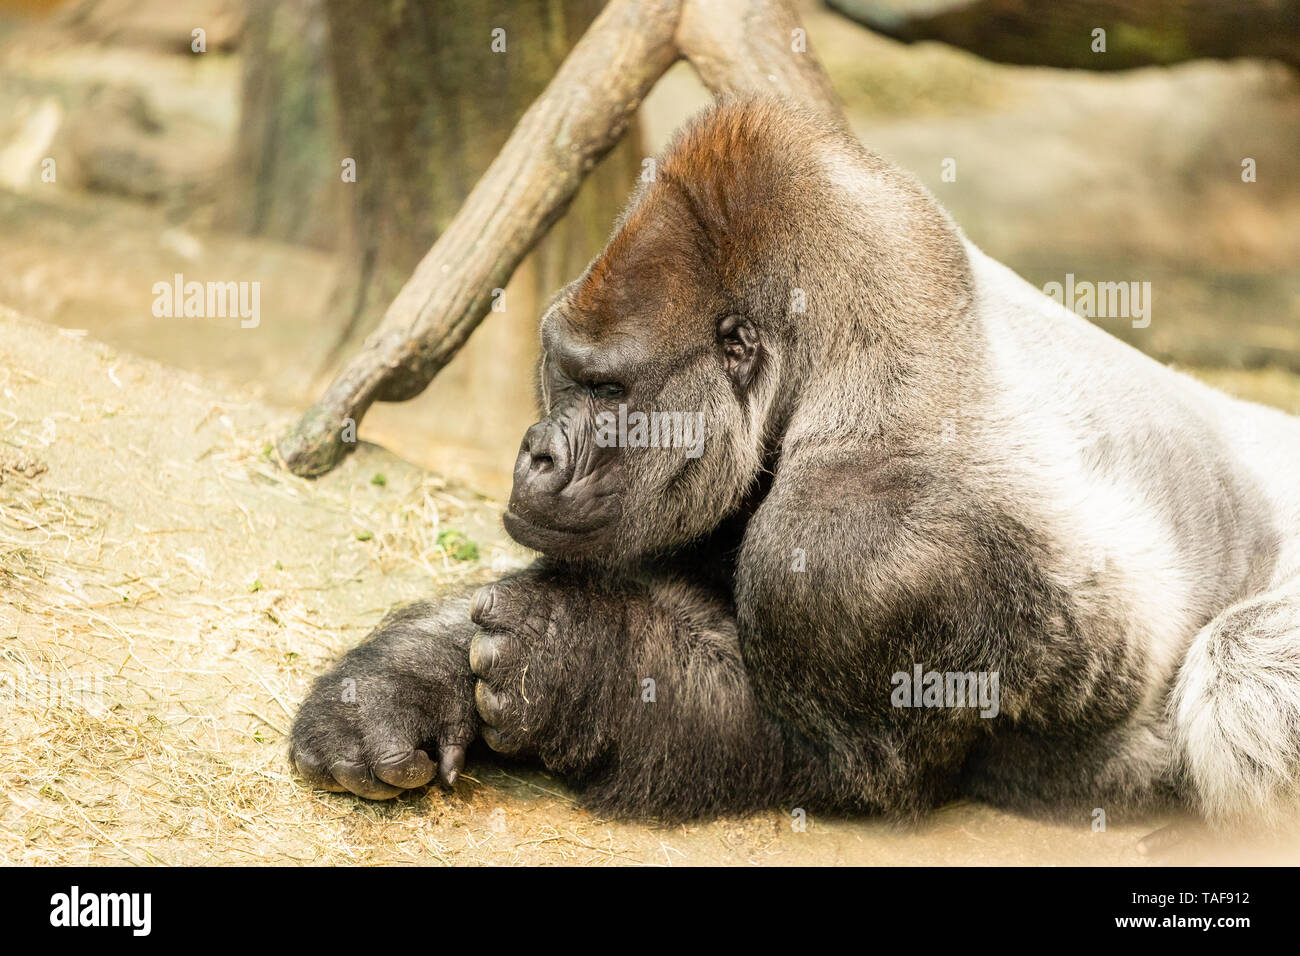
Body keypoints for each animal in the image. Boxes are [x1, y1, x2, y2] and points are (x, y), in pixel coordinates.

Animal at [289, 98, 1300, 832]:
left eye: (609, 390)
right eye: (563, 369)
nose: (536, 453)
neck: (839, 369)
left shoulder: (861, 554)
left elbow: (849, 763)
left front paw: (571, 661)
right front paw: (393, 689)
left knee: (1240, 671)